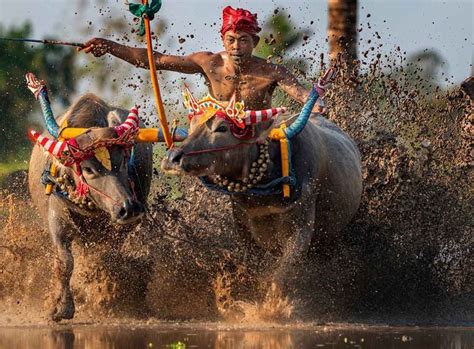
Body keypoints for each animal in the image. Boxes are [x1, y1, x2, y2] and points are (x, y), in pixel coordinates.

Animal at [26, 74, 153, 320]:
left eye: (124, 159)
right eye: (88, 169)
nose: (128, 208)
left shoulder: (123, 227)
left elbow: (106, 258)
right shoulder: (57, 217)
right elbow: (65, 263)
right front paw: (61, 307)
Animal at [163, 84, 362, 294]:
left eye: (222, 127)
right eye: (192, 126)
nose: (172, 158)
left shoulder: (301, 231)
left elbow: (279, 279)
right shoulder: (246, 234)